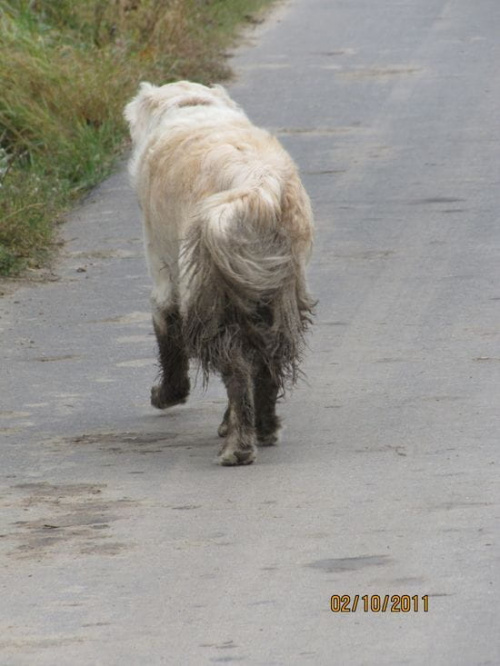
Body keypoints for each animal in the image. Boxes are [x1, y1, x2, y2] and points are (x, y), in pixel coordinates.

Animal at [123, 80, 314, 464]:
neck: (190, 105)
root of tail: (257, 190)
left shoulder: (165, 278)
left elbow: (169, 339)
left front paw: (165, 394)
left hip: (208, 292)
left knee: (236, 367)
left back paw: (238, 447)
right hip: (278, 292)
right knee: (267, 362)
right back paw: (264, 428)